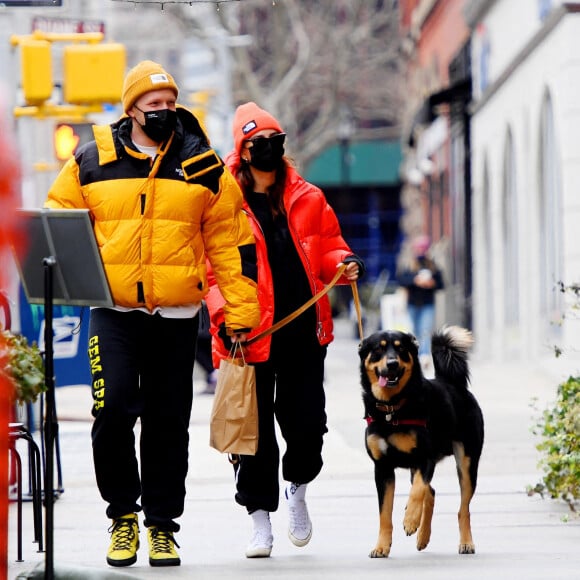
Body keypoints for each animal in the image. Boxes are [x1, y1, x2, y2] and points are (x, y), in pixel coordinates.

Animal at [360, 326, 482, 556]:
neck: (392, 409)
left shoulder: (425, 458)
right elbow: (384, 514)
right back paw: (423, 537)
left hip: (467, 463)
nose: (392, 363)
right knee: (431, 493)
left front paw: (410, 521)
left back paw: (466, 542)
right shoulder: (382, 469)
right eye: (378, 349)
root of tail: (451, 383)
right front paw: (381, 546)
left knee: (463, 508)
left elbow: (418, 490)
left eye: (401, 349)